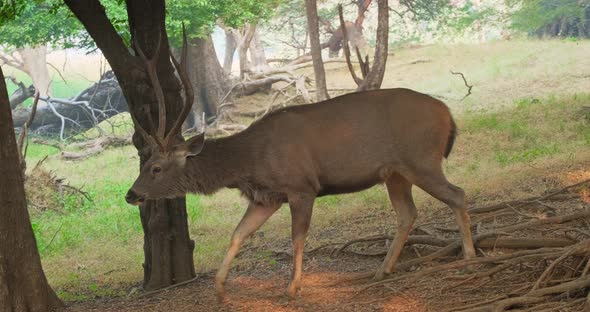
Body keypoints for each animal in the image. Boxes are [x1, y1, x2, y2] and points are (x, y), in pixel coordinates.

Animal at [125, 29, 476, 302]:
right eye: (145, 163)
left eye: (156, 168)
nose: (131, 194)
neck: (249, 161)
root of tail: (448, 114)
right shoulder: (266, 198)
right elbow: (238, 234)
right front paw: (220, 289)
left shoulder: (302, 187)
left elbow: (298, 237)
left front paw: (293, 287)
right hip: (395, 173)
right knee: (407, 213)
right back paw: (381, 270)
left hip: (422, 159)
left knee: (457, 194)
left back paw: (470, 256)